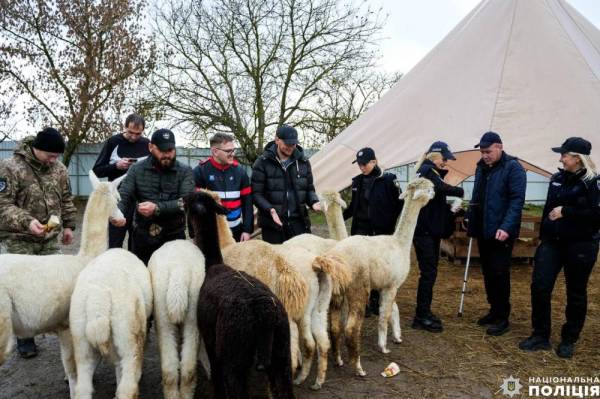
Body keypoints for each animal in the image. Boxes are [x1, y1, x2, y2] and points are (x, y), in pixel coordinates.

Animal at [0, 171, 123, 396]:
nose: (123, 218)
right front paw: (75, 389)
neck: (84, 259)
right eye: (118, 198)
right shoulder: (67, 324)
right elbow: (71, 366)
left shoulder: (61, 325)